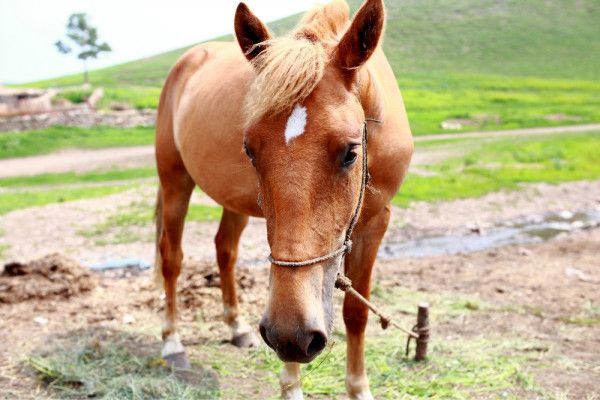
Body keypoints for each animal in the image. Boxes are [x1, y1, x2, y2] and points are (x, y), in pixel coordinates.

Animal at [154, 0, 412, 396]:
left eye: (351, 152)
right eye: (250, 150)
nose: (292, 335)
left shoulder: (377, 220)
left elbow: (356, 313)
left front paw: (358, 388)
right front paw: (291, 385)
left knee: (225, 250)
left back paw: (236, 327)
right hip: (174, 183)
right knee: (172, 258)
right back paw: (172, 343)